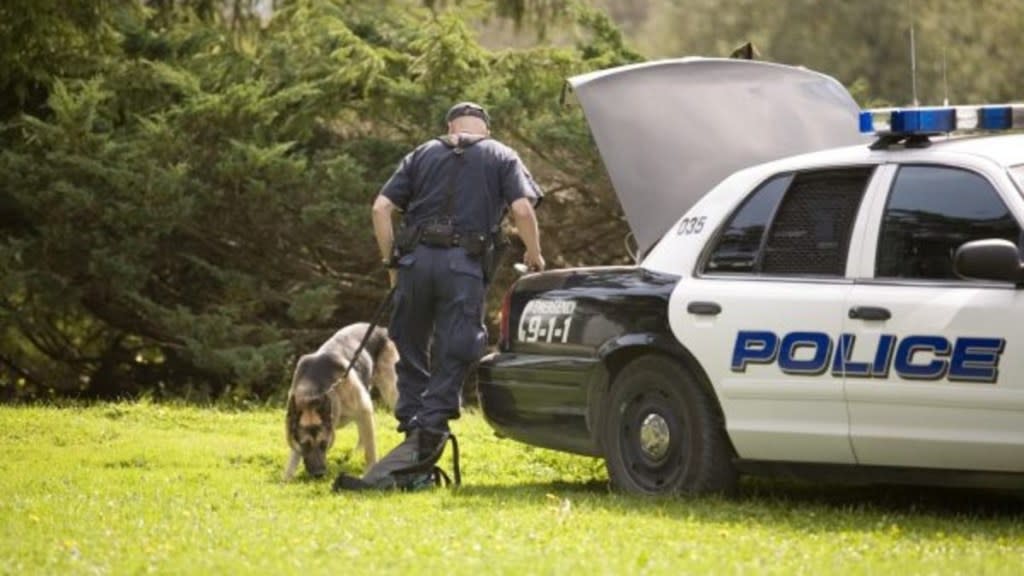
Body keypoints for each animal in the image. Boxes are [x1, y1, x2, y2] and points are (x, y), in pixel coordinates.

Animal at [288, 323, 403, 479]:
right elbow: (292, 459)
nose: (319, 474)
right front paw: (286, 479)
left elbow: (370, 450)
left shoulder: (364, 410)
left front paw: (370, 471)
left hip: (390, 391)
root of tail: (381, 329)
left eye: (324, 444)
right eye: (305, 445)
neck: (312, 392)